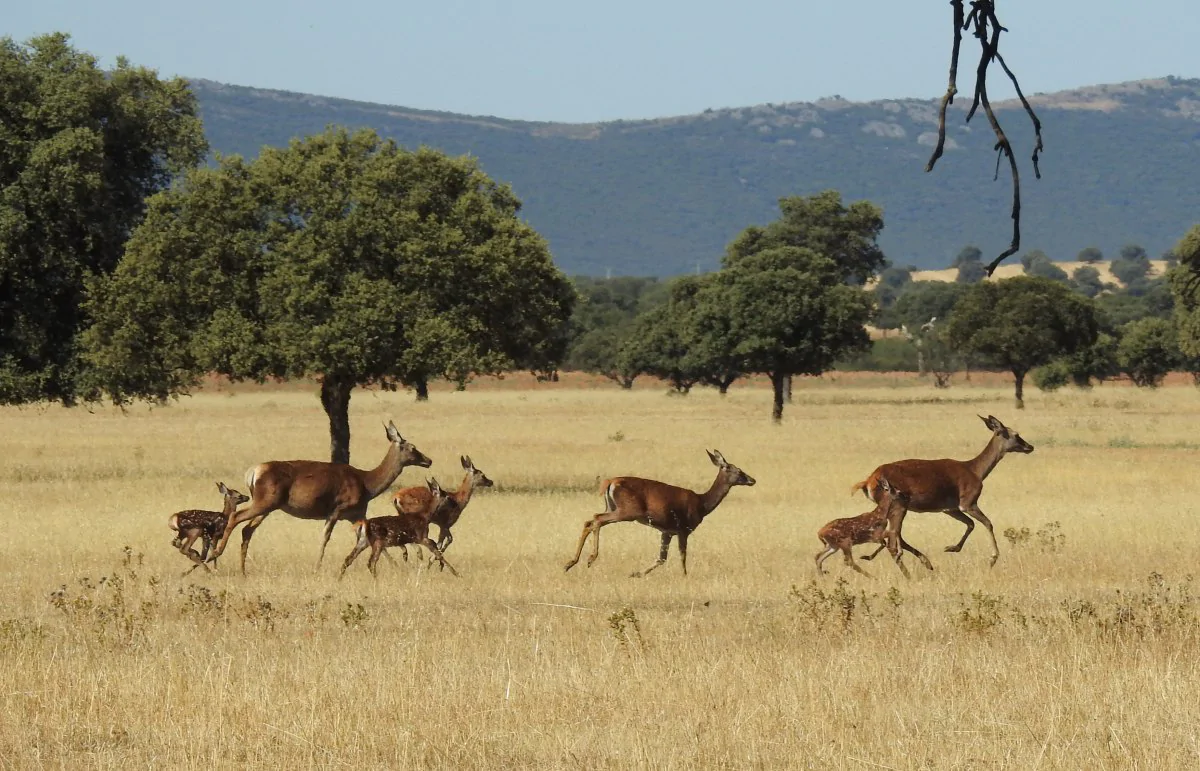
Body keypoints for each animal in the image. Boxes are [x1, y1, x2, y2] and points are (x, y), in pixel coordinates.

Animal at [208, 420, 434, 571]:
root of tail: (252, 473)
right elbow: (325, 537)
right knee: (236, 517)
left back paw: (242, 569)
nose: (429, 460)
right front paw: (317, 566)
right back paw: (215, 554)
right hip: (265, 501)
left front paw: (395, 564)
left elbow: (367, 536)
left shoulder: (356, 514)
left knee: (247, 529)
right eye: (412, 447)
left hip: (268, 505)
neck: (367, 484)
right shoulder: (337, 509)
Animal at [559, 451, 748, 576]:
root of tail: (610, 482)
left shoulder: (667, 531)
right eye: (738, 471)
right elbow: (682, 555)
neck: (702, 504)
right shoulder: (683, 529)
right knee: (596, 519)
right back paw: (589, 559)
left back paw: (569, 563)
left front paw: (636, 574)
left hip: (612, 507)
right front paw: (684, 575)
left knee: (590, 520)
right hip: (628, 511)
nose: (751, 480)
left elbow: (661, 558)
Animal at [849, 413, 1036, 564]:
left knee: (891, 534)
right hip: (898, 506)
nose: (1030, 447)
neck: (974, 470)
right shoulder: (968, 503)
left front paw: (951, 548)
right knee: (894, 535)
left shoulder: (949, 509)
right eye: (1016, 434)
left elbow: (971, 524)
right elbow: (987, 523)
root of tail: (868, 481)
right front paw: (993, 558)